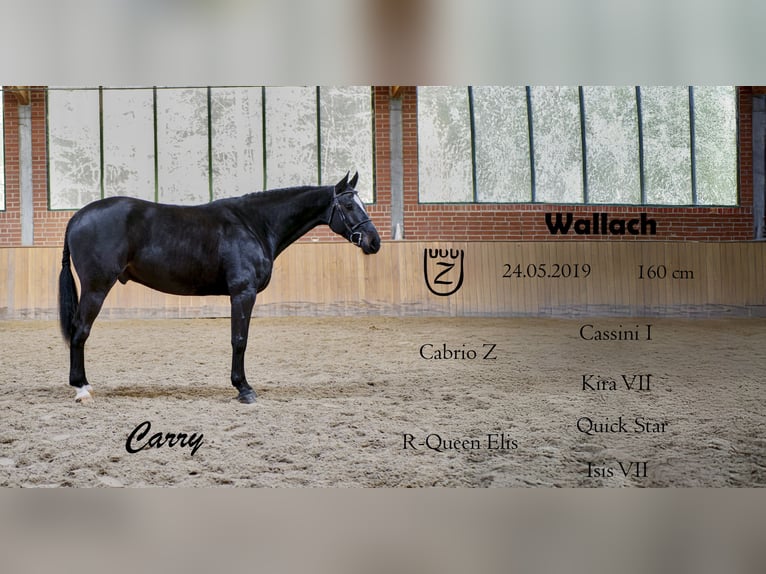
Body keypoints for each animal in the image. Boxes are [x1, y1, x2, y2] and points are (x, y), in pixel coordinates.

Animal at [58, 172, 380, 404]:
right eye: (348, 205)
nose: (374, 242)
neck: (254, 225)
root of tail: (78, 216)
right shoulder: (242, 293)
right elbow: (239, 340)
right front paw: (244, 389)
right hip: (96, 287)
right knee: (80, 330)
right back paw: (82, 388)